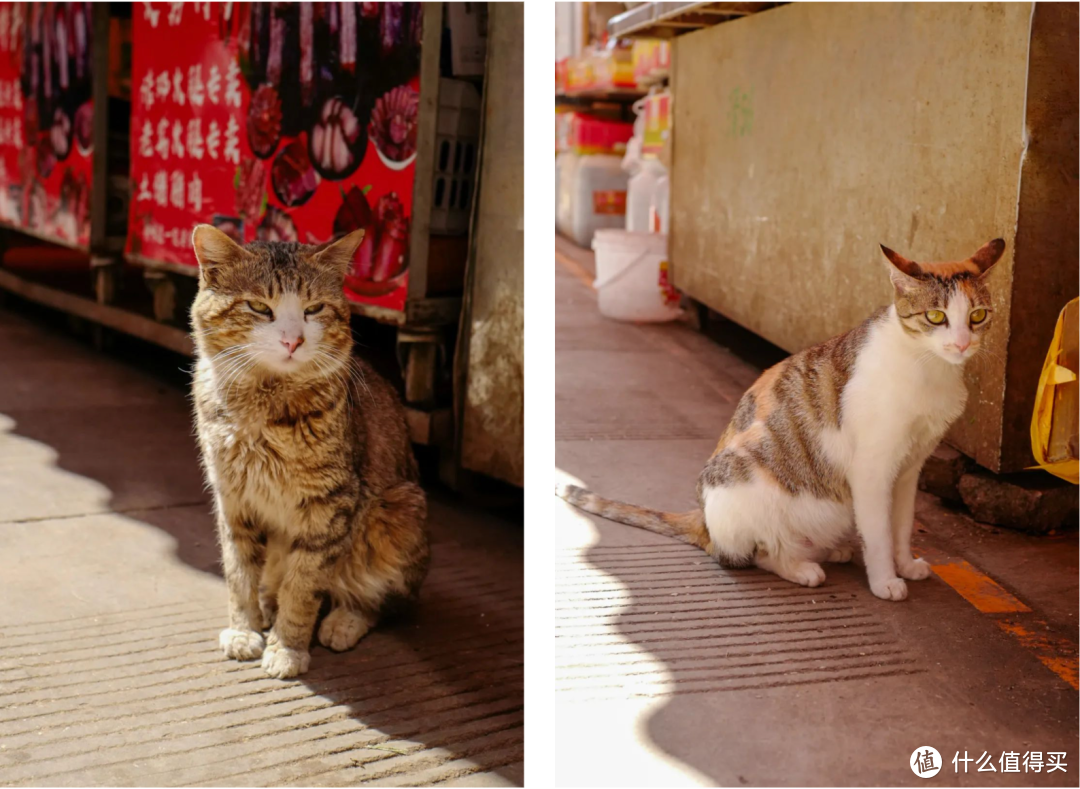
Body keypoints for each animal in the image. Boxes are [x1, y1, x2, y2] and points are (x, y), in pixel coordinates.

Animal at [192, 226, 427, 677]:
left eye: (314, 308)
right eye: (258, 307)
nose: (293, 340)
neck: (263, 402)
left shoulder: (330, 505)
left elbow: (303, 586)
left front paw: (287, 647)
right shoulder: (233, 498)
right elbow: (239, 572)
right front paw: (245, 629)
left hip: (398, 513)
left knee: (386, 600)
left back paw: (343, 620)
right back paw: (269, 605)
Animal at [561, 237, 1006, 600]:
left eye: (978, 316)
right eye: (935, 317)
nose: (961, 343)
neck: (929, 368)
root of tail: (702, 519)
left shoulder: (910, 468)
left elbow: (900, 525)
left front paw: (906, 564)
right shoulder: (873, 469)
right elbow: (878, 533)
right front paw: (885, 581)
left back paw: (833, 550)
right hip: (741, 484)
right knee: (749, 554)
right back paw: (801, 568)